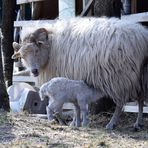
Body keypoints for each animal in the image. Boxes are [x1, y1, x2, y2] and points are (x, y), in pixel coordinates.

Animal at [11, 16, 148, 130]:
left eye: (36, 50)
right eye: (22, 56)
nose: (34, 71)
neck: (52, 47)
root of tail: (142, 36)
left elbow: (73, 107)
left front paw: (73, 122)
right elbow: (74, 106)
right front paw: (74, 122)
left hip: (120, 78)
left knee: (120, 104)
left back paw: (111, 124)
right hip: (140, 75)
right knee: (141, 98)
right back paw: (138, 123)